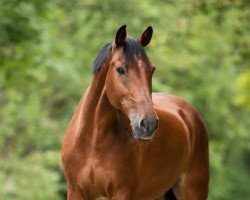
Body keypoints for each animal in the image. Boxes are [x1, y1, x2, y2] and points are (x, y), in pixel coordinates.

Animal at [61, 25, 210, 200]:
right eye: (120, 70)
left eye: (151, 70)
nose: (149, 124)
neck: (93, 142)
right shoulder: (75, 191)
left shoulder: (122, 193)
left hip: (193, 191)